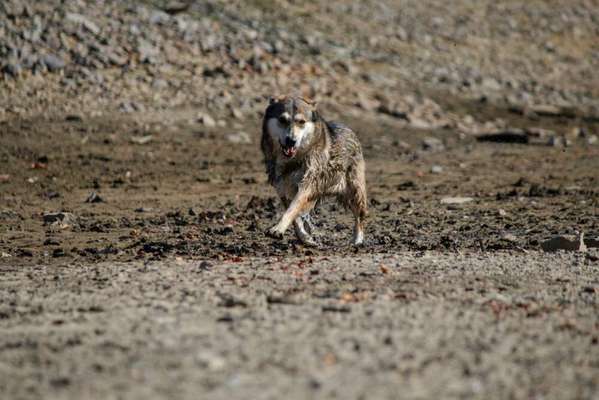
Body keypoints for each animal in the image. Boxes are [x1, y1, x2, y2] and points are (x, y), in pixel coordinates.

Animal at [262, 96, 368, 247]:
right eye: (282, 120)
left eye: (301, 122)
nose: (291, 141)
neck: (292, 161)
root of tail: (350, 130)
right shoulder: (282, 189)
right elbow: (295, 219)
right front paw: (305, 238)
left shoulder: (307, 184)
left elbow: (292, 209)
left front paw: (277, 229)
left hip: (354, 191)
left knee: (360, 216)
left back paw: (357, 240)